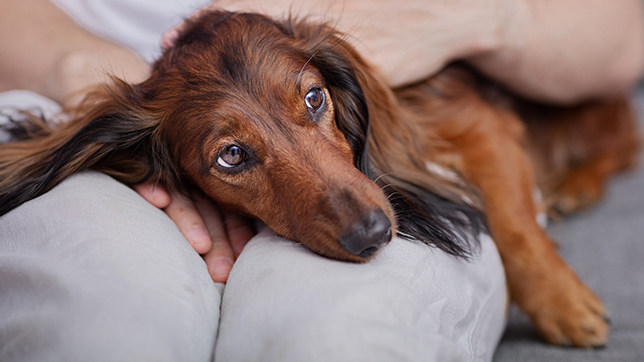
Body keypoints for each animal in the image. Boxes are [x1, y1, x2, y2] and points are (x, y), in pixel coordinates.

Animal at [0, 9, 640, 346]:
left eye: (314, 98)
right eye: (232, 156)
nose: (374, 234)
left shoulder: (479, 124)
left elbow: (515, 226)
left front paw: (563, 303)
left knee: (621, 140)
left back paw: (575, 184)